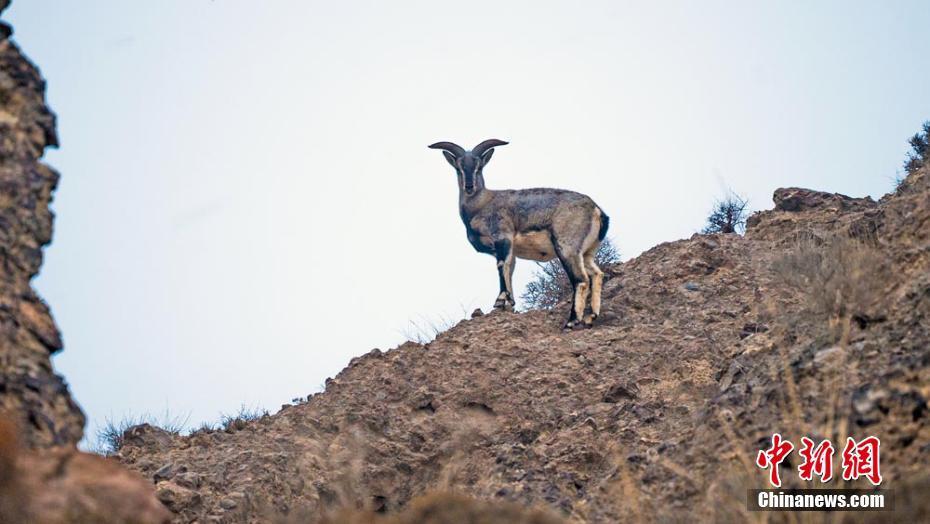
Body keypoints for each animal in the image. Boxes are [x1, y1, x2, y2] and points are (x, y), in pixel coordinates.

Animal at [428, 139, 608, 328]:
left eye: (479, 167)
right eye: (459, 168)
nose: (469, 187)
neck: (481, 205)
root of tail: (596, 210)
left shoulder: (502, 238)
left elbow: (502, 266)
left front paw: (500, 300)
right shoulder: (510, 249)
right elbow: (510, 269)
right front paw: (509, 303)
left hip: (567, 248)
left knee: (581, 280)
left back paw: (572, 321)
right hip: (586, 253)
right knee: (597, 274)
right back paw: (591, 316)